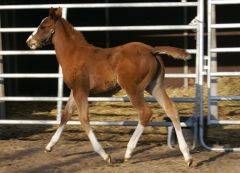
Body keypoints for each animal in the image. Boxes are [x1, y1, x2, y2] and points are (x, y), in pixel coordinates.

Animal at [26, 7, 192, 166]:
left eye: (43, 26)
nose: (29, 41)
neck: (73, 53)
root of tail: (151, 50)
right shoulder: (75, 91)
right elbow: (65, 116)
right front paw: (49, 146)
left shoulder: (81, 91)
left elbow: (84, 119)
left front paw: (106, 156)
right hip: (154, 86)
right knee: (172, 110)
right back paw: (187, 156)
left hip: (133, 88)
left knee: (145, 113)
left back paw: (128, 152)